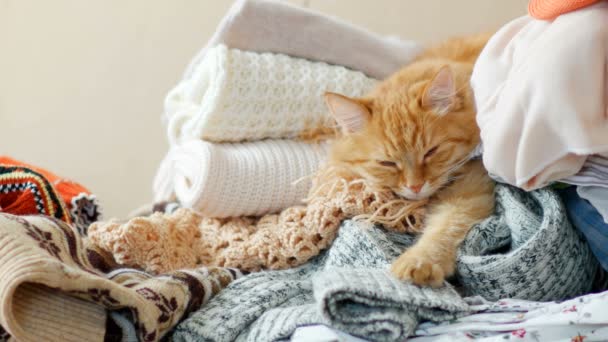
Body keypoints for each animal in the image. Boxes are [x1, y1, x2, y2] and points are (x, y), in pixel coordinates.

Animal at [326, 33, 496, 288]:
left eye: (430, 152)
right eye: (387, 163)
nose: (415, 186)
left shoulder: (470, 192)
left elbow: (445, 228)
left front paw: (420, 262)